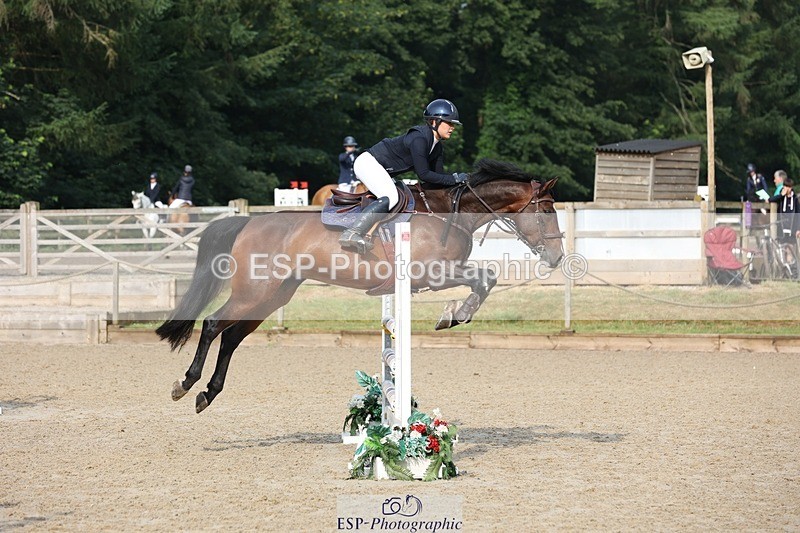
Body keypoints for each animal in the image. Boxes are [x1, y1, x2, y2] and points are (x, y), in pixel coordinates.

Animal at [156, 159, 563, 413]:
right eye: (546, 211)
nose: (558, 257)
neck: (449, 213)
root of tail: (248, 223)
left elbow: (486, 278)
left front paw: (455, 315)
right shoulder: (431, 272)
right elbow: (484, 277)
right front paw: (453, 314)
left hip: (271, 296)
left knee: (231, 336)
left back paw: (208, 393)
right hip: (254, 292)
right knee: (213, 325)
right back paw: (186, 384)